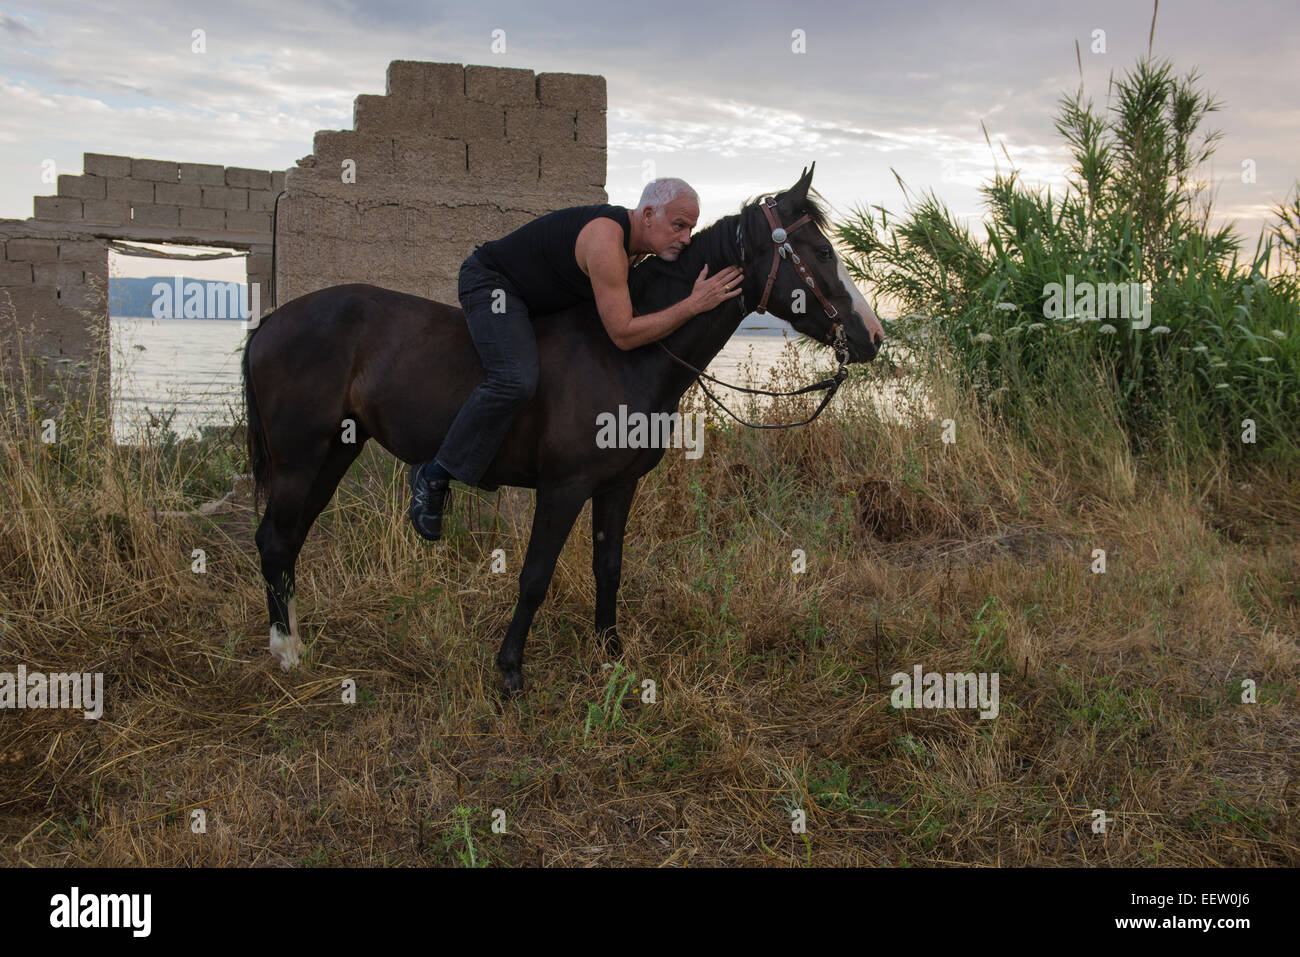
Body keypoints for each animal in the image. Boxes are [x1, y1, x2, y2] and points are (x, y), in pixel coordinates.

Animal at [241, 160, 883, 691]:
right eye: (819, 250)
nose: (873, 336)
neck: (621, 354)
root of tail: (272, 320)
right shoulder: (563, 488)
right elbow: (535, 575)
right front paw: (510, 670)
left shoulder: (618, 487)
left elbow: (609, 568)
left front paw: (611, 655)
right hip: (301, 456)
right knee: (274, 539)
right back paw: (287, 652)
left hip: (334, 452)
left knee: (289, 541)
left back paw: (295, 638)